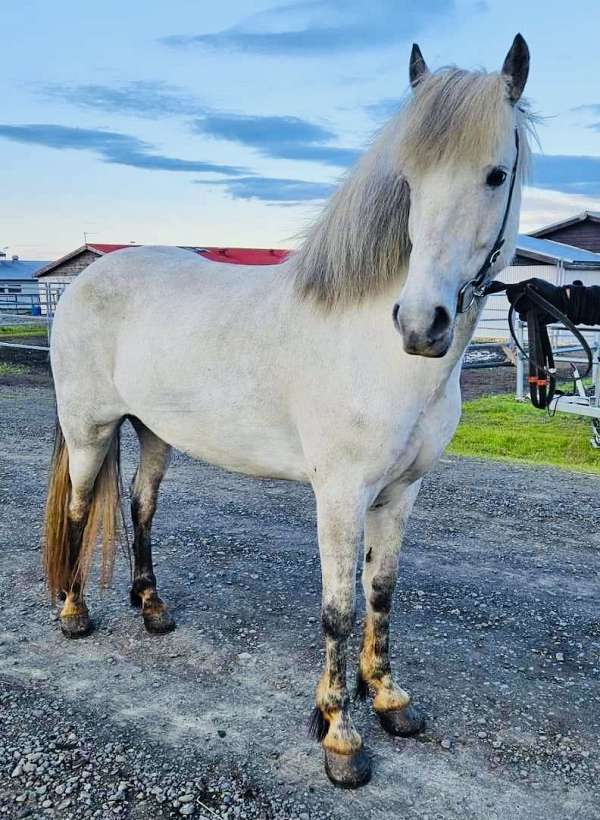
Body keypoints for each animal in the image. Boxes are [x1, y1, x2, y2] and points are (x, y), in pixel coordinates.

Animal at [43, 33, 528, 788]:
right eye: (409, 182)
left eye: (495, 175)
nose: (422, 324)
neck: (373, 346)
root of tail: (84, 282)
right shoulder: (340, 494)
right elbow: (338, 607)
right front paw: (340, 737)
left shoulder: (401, 493)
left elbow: (381, 591)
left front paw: (389, 700)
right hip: (90, 429)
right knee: (79, 508)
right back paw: (73, 613)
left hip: (153, 433)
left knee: (140, 506)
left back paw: (153, 609)